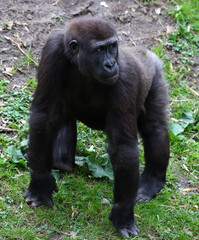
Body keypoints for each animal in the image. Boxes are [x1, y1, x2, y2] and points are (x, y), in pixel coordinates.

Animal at [24, 17, 169, 238]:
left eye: (112, 47)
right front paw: (41, 183)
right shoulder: (53, 49)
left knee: (155, 128)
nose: (110, 64)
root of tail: (145, 52)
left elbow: (123, 147)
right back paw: (61, 160)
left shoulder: (124, 77)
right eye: (99, 50)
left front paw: (122, 213)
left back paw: (152, 181)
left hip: (156, 72)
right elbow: (44, 114)